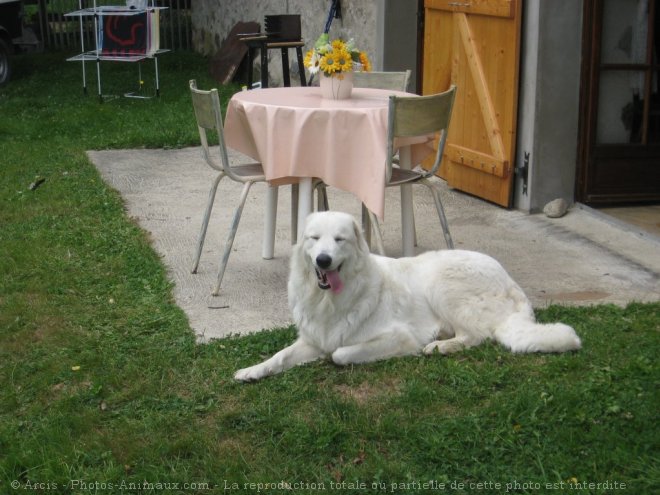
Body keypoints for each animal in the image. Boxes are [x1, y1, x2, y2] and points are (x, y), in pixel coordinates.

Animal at [235, 211, 580, 382]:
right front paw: (252, 371)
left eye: (339, 240)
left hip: (440, 283)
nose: (323, 260)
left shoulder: (397, 337)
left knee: (476, 336)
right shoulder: (314, 339)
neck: (330, 299)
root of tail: (511, 282)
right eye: (314, 239)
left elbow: (340, 354)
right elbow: (280, 356)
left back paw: (440, 346)